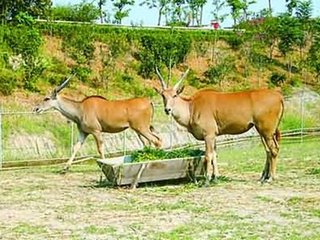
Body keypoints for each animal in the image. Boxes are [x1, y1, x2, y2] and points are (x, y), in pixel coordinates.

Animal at [33, 76, 161, 172]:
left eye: (46, 98)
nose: (36, 109)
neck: (80, 110)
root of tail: (148, 101)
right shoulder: (83, 133)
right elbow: (75, 147)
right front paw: (65, 167)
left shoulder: (96, 131)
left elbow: (100, 148)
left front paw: (103, 164)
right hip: (141, 129)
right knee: (151, 141)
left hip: (141, 128)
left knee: (156, 140)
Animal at [156, 68, 284, 185]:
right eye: (163, 95)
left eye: (174, 95)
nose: (167, 109)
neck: (192, 106)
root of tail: (279, 97)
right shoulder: (214, 136)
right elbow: (214, 155)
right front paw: (215, 177)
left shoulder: (208, 135)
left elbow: (208, 156)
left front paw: (207, 180)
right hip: (264, 131)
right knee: (269, 150)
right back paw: (264, 177)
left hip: (266, 131)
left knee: (273, 150)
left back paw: (271, 178)